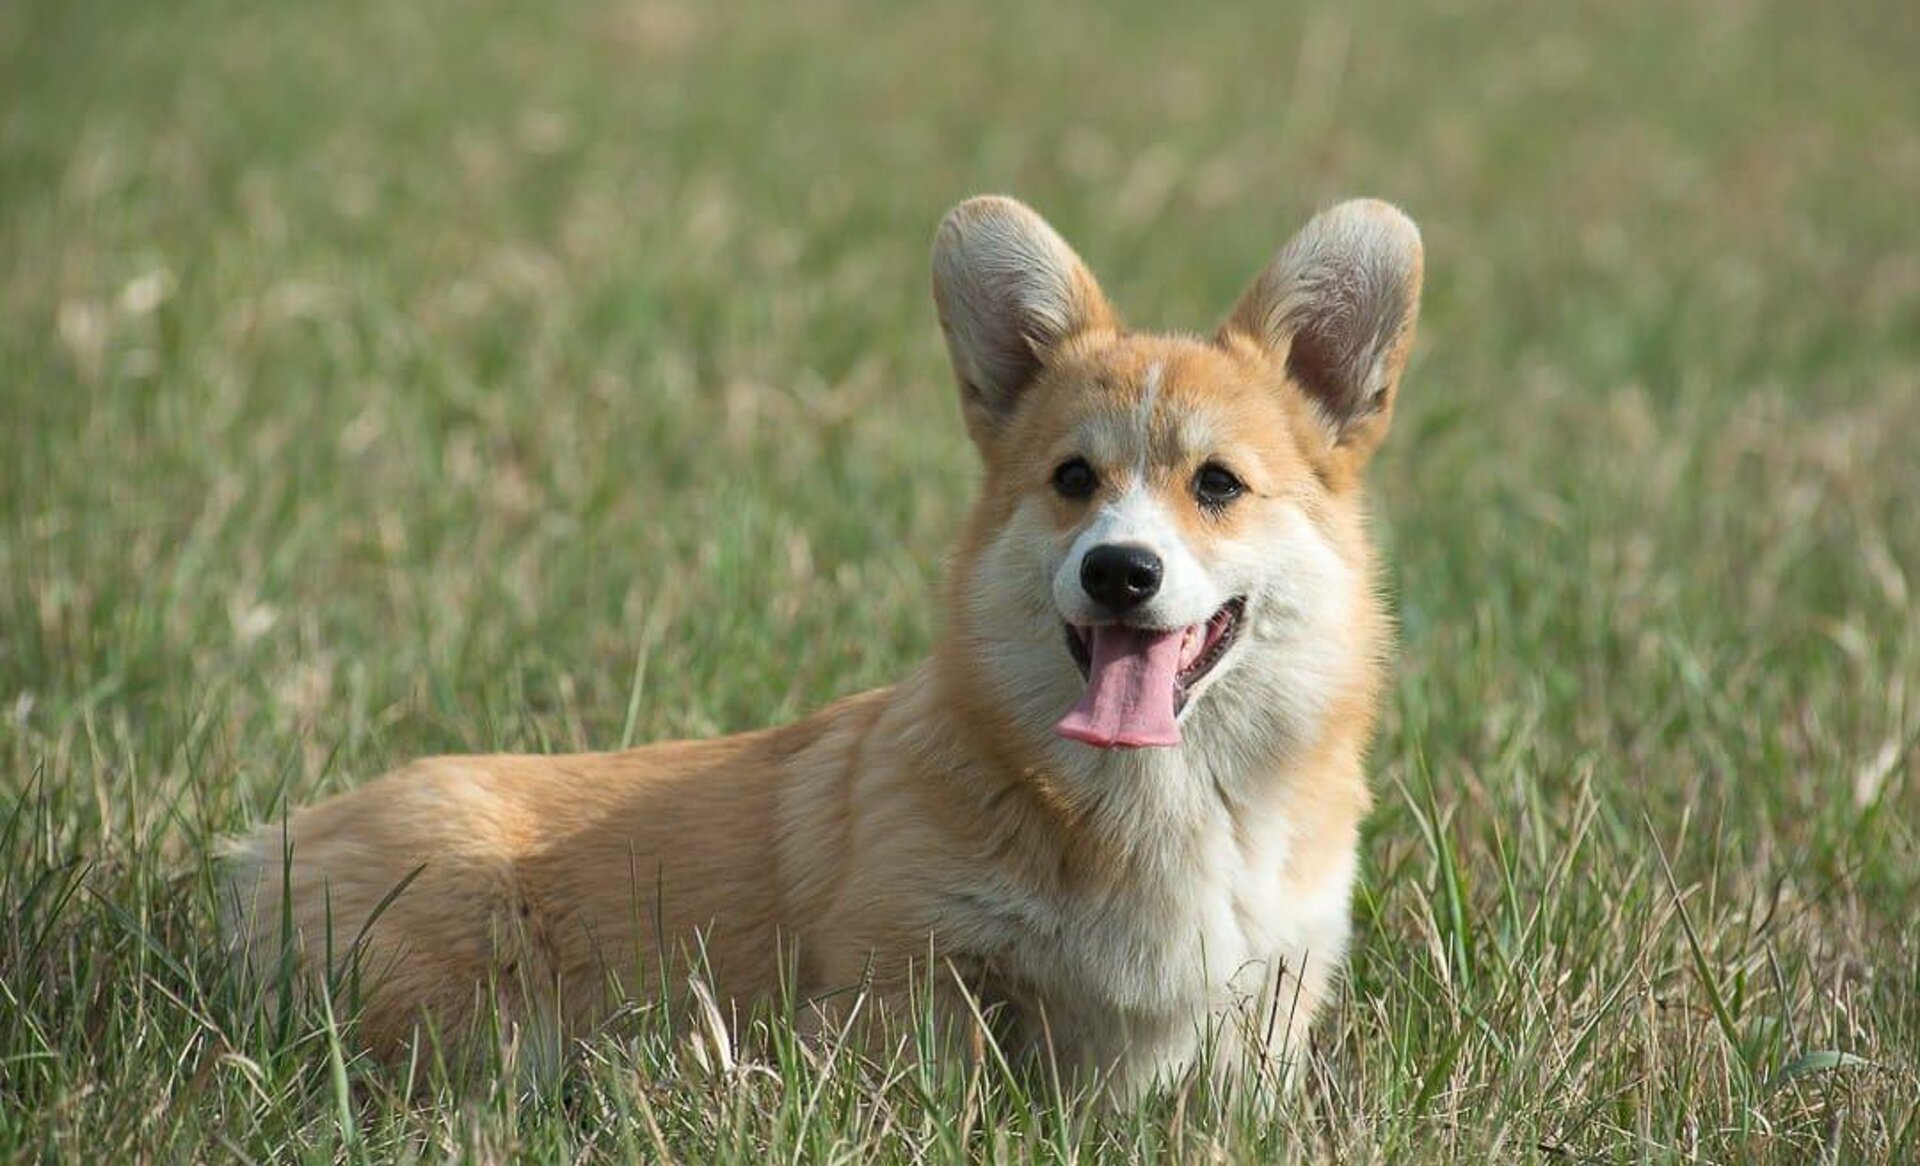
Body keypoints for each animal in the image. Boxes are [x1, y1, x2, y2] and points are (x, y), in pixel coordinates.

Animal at [228, 194, 1428, 1091]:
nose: (1118, 571)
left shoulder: (1264, 1001)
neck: (1157, 801)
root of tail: (259, 851)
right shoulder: (906, 967)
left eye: (1217, 484)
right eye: (1073, 479)